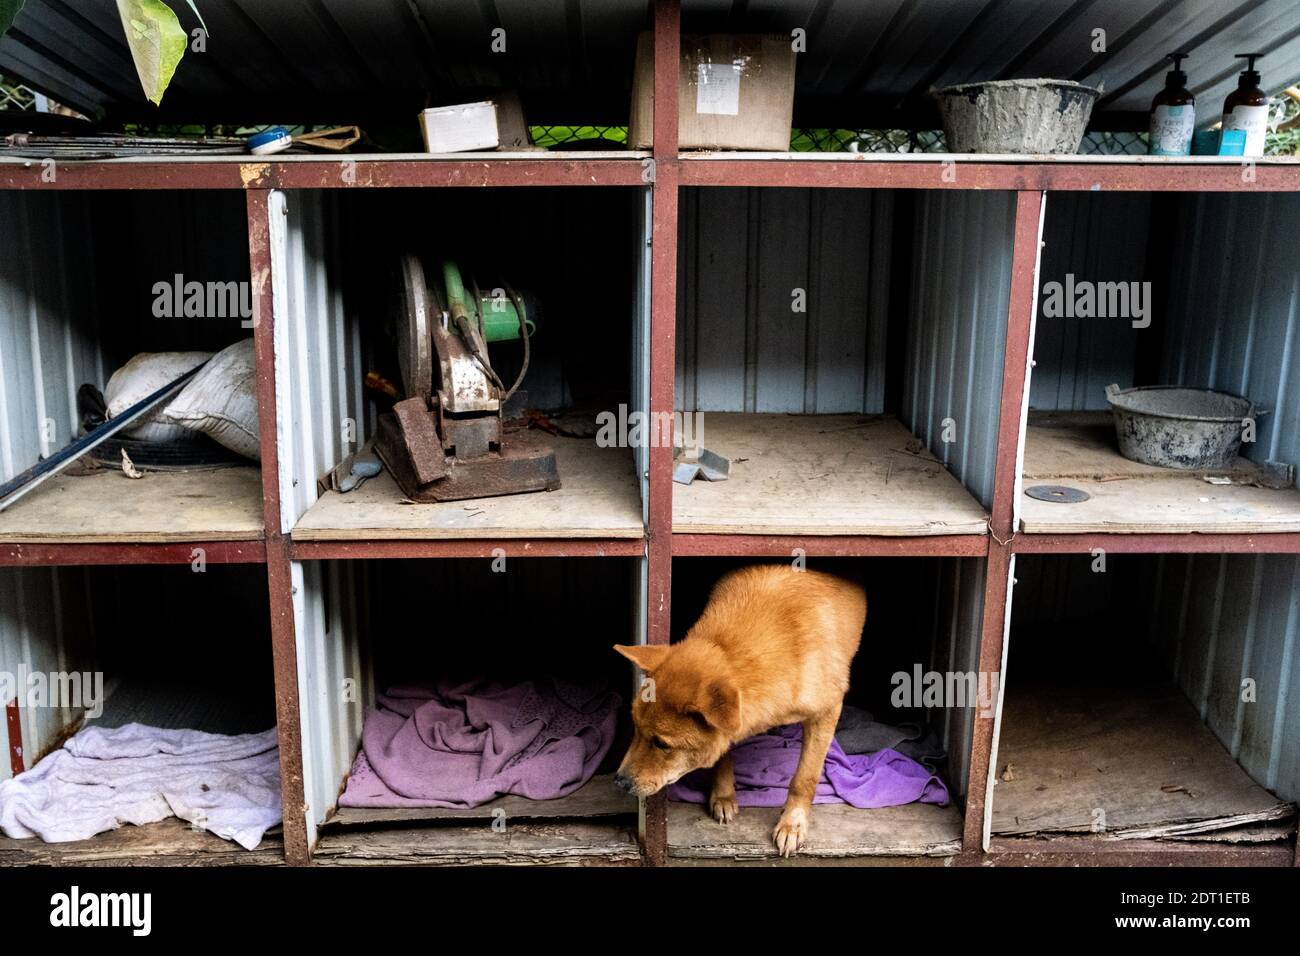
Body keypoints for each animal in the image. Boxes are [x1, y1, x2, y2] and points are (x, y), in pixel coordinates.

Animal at [613, 567, 868, 858]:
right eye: (635, 727)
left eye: (661, 744)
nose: (619, 781)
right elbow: (722, 754)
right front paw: (724, 795)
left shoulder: (827, 712)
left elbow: (805, 777)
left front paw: (793, 823)